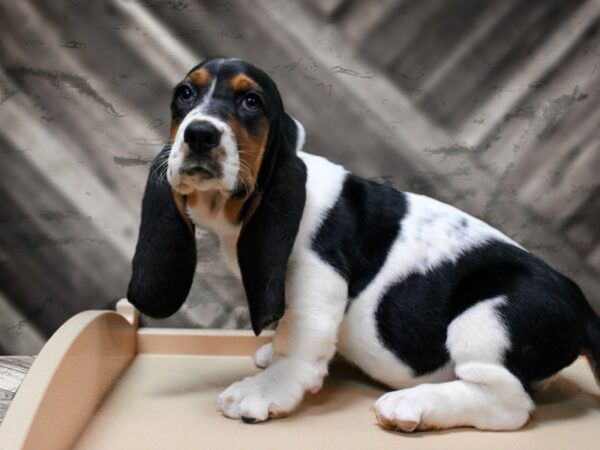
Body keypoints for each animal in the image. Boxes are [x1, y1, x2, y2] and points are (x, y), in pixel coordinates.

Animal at [127, 58, 600, 430]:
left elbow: (299, 341)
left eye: (251, 102)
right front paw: (269, 354)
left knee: (507, 401)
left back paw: (412, 405)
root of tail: (583, 309)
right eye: (185, 94)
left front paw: (265, 389)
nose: (200, 134)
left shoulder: (317, 280)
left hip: (489, 315)